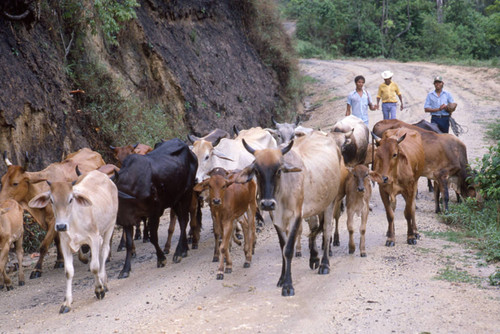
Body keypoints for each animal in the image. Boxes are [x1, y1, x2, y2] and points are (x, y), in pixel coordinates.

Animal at [0, 147, 104, 278]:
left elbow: (44, 245)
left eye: (15, 183)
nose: (1, 201)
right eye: (2, 182)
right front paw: (59, 260)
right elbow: (57, 241)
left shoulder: (54, 221)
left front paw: (37, 269)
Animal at [29, 171, 118, 314]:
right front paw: (66, 303)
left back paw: (103, 281)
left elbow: (94, 266)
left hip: (110, 226)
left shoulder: (93, 238)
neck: (73, 220)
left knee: (104, 252)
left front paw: (99, 289)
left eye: (71, 199)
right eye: (51, 200)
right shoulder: (65, 244)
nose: (61, 226)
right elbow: (69, 272)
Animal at [113, 138, 197, 280]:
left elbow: (153, 237)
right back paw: (184, 249)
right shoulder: (127, 219)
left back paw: (178, 252)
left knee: (185, 221)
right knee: (181, 221)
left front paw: (161, 258)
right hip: (175, 199)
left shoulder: (155, 213)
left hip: (187, 193)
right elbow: (129, 243)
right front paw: (125, 270)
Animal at [236, 132, 342, 296]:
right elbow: (283, 248)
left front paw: (288, 285)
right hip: (314, 206)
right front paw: (281, 279)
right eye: (257, 171)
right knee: (314, 228)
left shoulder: (295, 217)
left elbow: (289, 249)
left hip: (330, 202)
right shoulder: (277, 220)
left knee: (326, 230)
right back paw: (314, 258)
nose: (267, 204)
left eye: (278, 170)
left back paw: (324, 264)